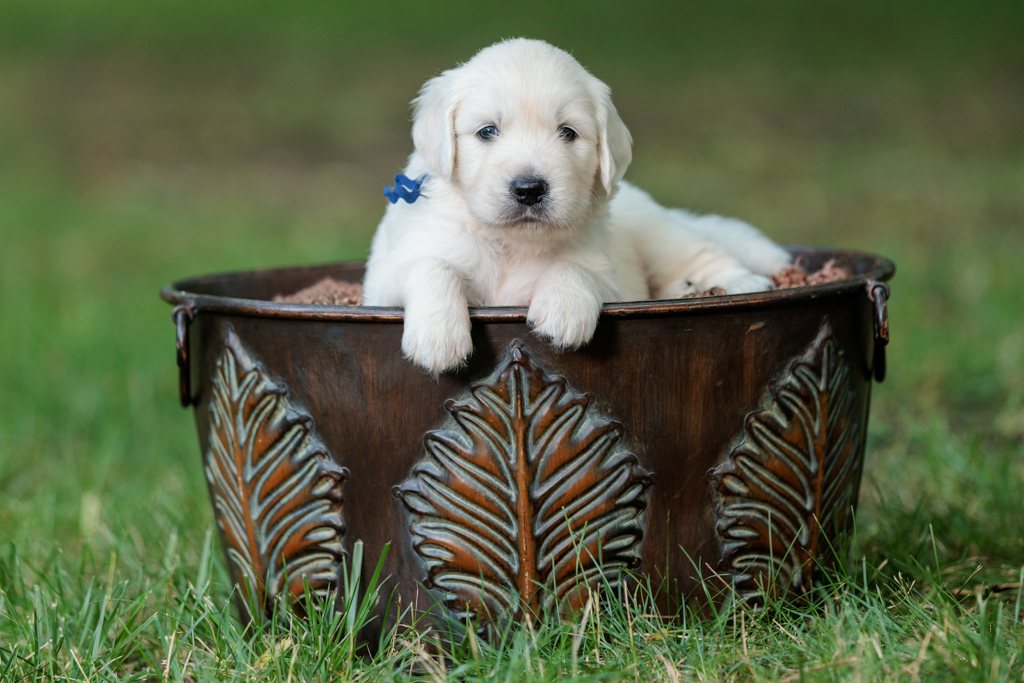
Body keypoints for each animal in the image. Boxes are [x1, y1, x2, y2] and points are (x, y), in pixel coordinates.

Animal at [362, 38, 790, 374]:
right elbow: (432, 266)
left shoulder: (614, 282)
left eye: (568, 133)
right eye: (487, 131)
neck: (512, 243)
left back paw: (740, 283)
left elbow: (574, 265)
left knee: (701, 254)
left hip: (660, 233)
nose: (529, 189)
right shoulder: (383, 280)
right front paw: (438, 337)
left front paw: (564, 310)